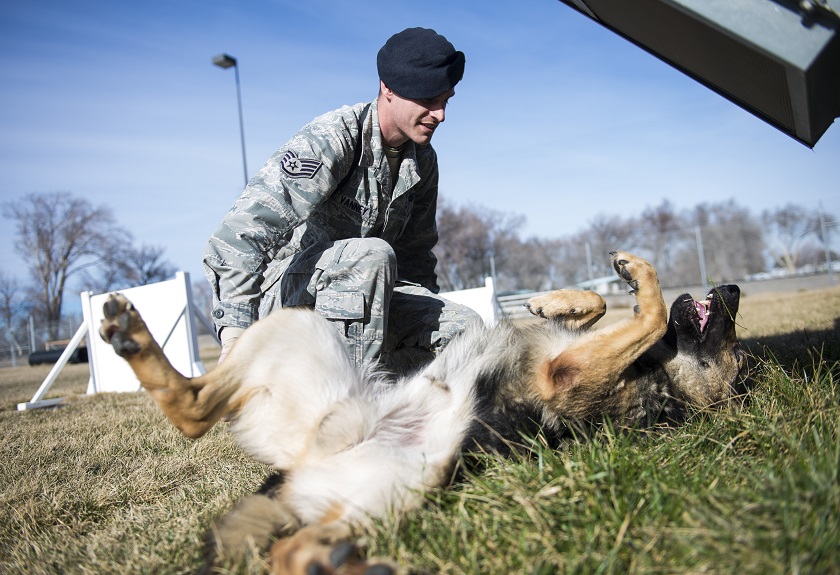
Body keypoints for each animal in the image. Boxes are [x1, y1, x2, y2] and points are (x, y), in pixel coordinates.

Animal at [100, 252, 748, 575]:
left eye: (737, 356)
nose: (735, 290)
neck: (661, 384)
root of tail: (296, 471)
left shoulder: (564, 373)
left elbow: (651, 312)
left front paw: (638, 275)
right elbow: (613, 308)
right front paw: (559, 298)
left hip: (399, 485)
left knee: (274, 534)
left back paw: (334, 565)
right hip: (298, 333)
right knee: (193, 408)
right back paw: (130, 334)